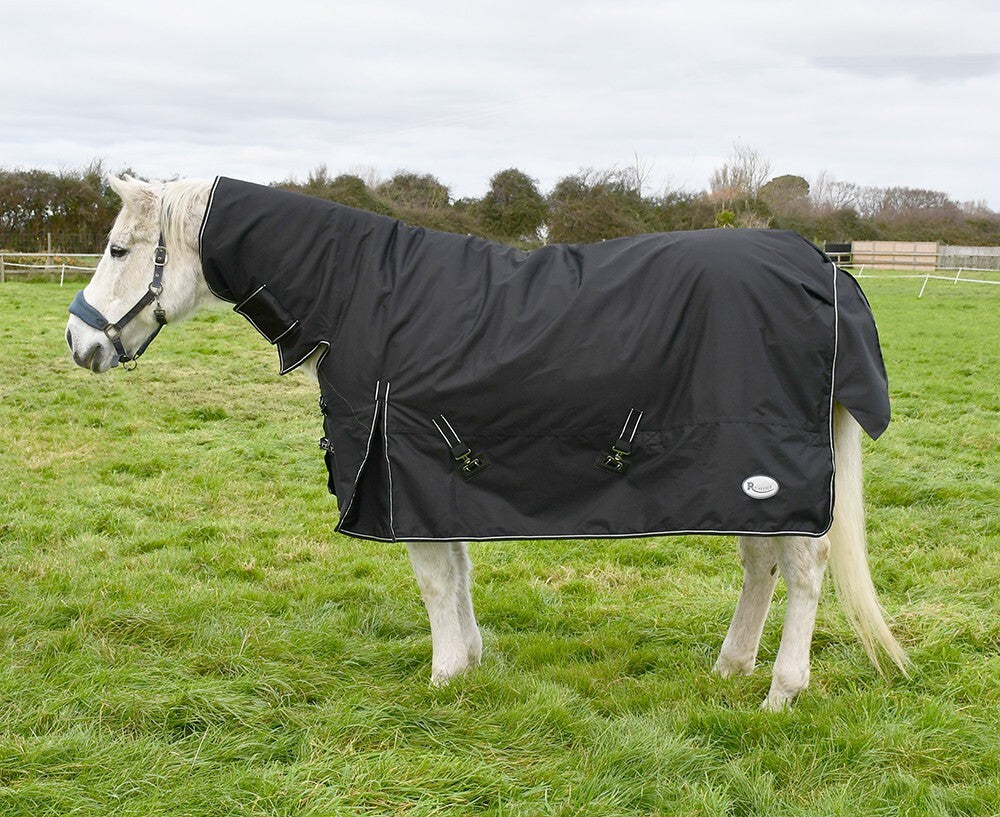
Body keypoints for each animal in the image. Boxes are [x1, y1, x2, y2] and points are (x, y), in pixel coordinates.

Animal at [65, 175, 909, 709]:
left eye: (116, 249)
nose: (78, 341)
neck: (364, 292)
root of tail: (823, 268)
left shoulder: (401, 473)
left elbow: (436, 581)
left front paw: (443, 678)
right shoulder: (438, 475)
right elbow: (459, 574)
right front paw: (469, 663)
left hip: (773, 468)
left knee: (805, 569)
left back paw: (781, 691)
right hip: (745, 476)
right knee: (762, 564)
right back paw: (731, 667)